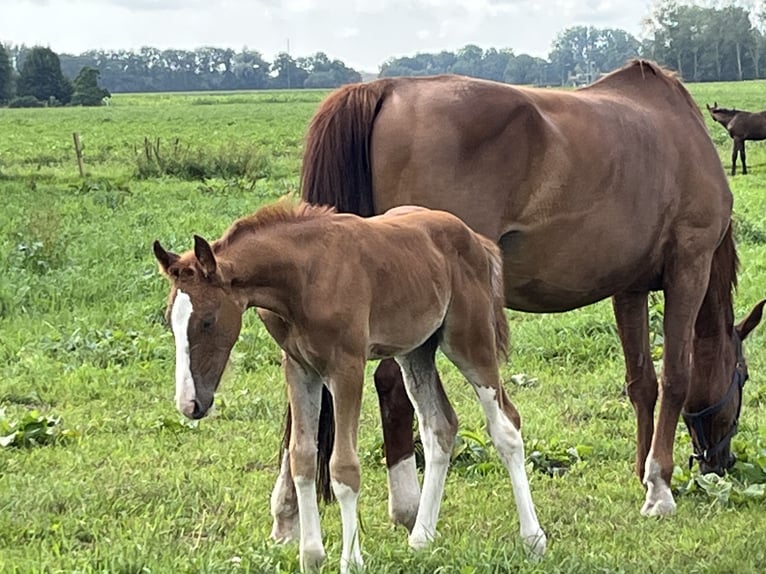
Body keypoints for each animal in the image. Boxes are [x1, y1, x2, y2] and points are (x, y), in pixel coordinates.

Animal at [268, 59, 764, 544]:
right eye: (742, 376)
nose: (721, 462)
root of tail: (384, 88)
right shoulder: (689, 267)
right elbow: (677, 376)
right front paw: (659, 486)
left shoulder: (629, 287)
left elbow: (641, 382)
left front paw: (642, 471)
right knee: (389, 384)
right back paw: (407, 506)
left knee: (308, 406)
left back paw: (288, 516)